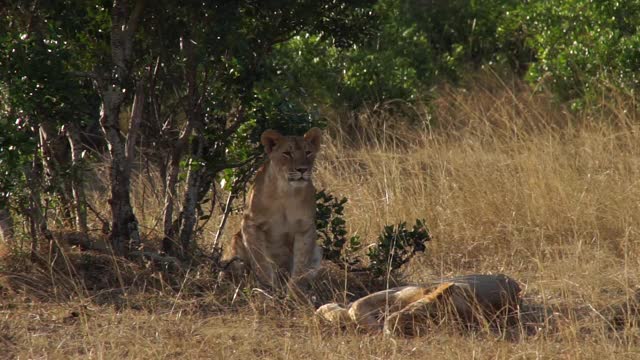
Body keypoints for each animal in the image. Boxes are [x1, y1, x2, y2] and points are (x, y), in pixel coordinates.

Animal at [316, 274, 520, 336]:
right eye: (418, 315)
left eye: (415, 325)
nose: (394, 328)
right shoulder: (397, 292)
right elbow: (354, 307)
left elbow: (353, 309)